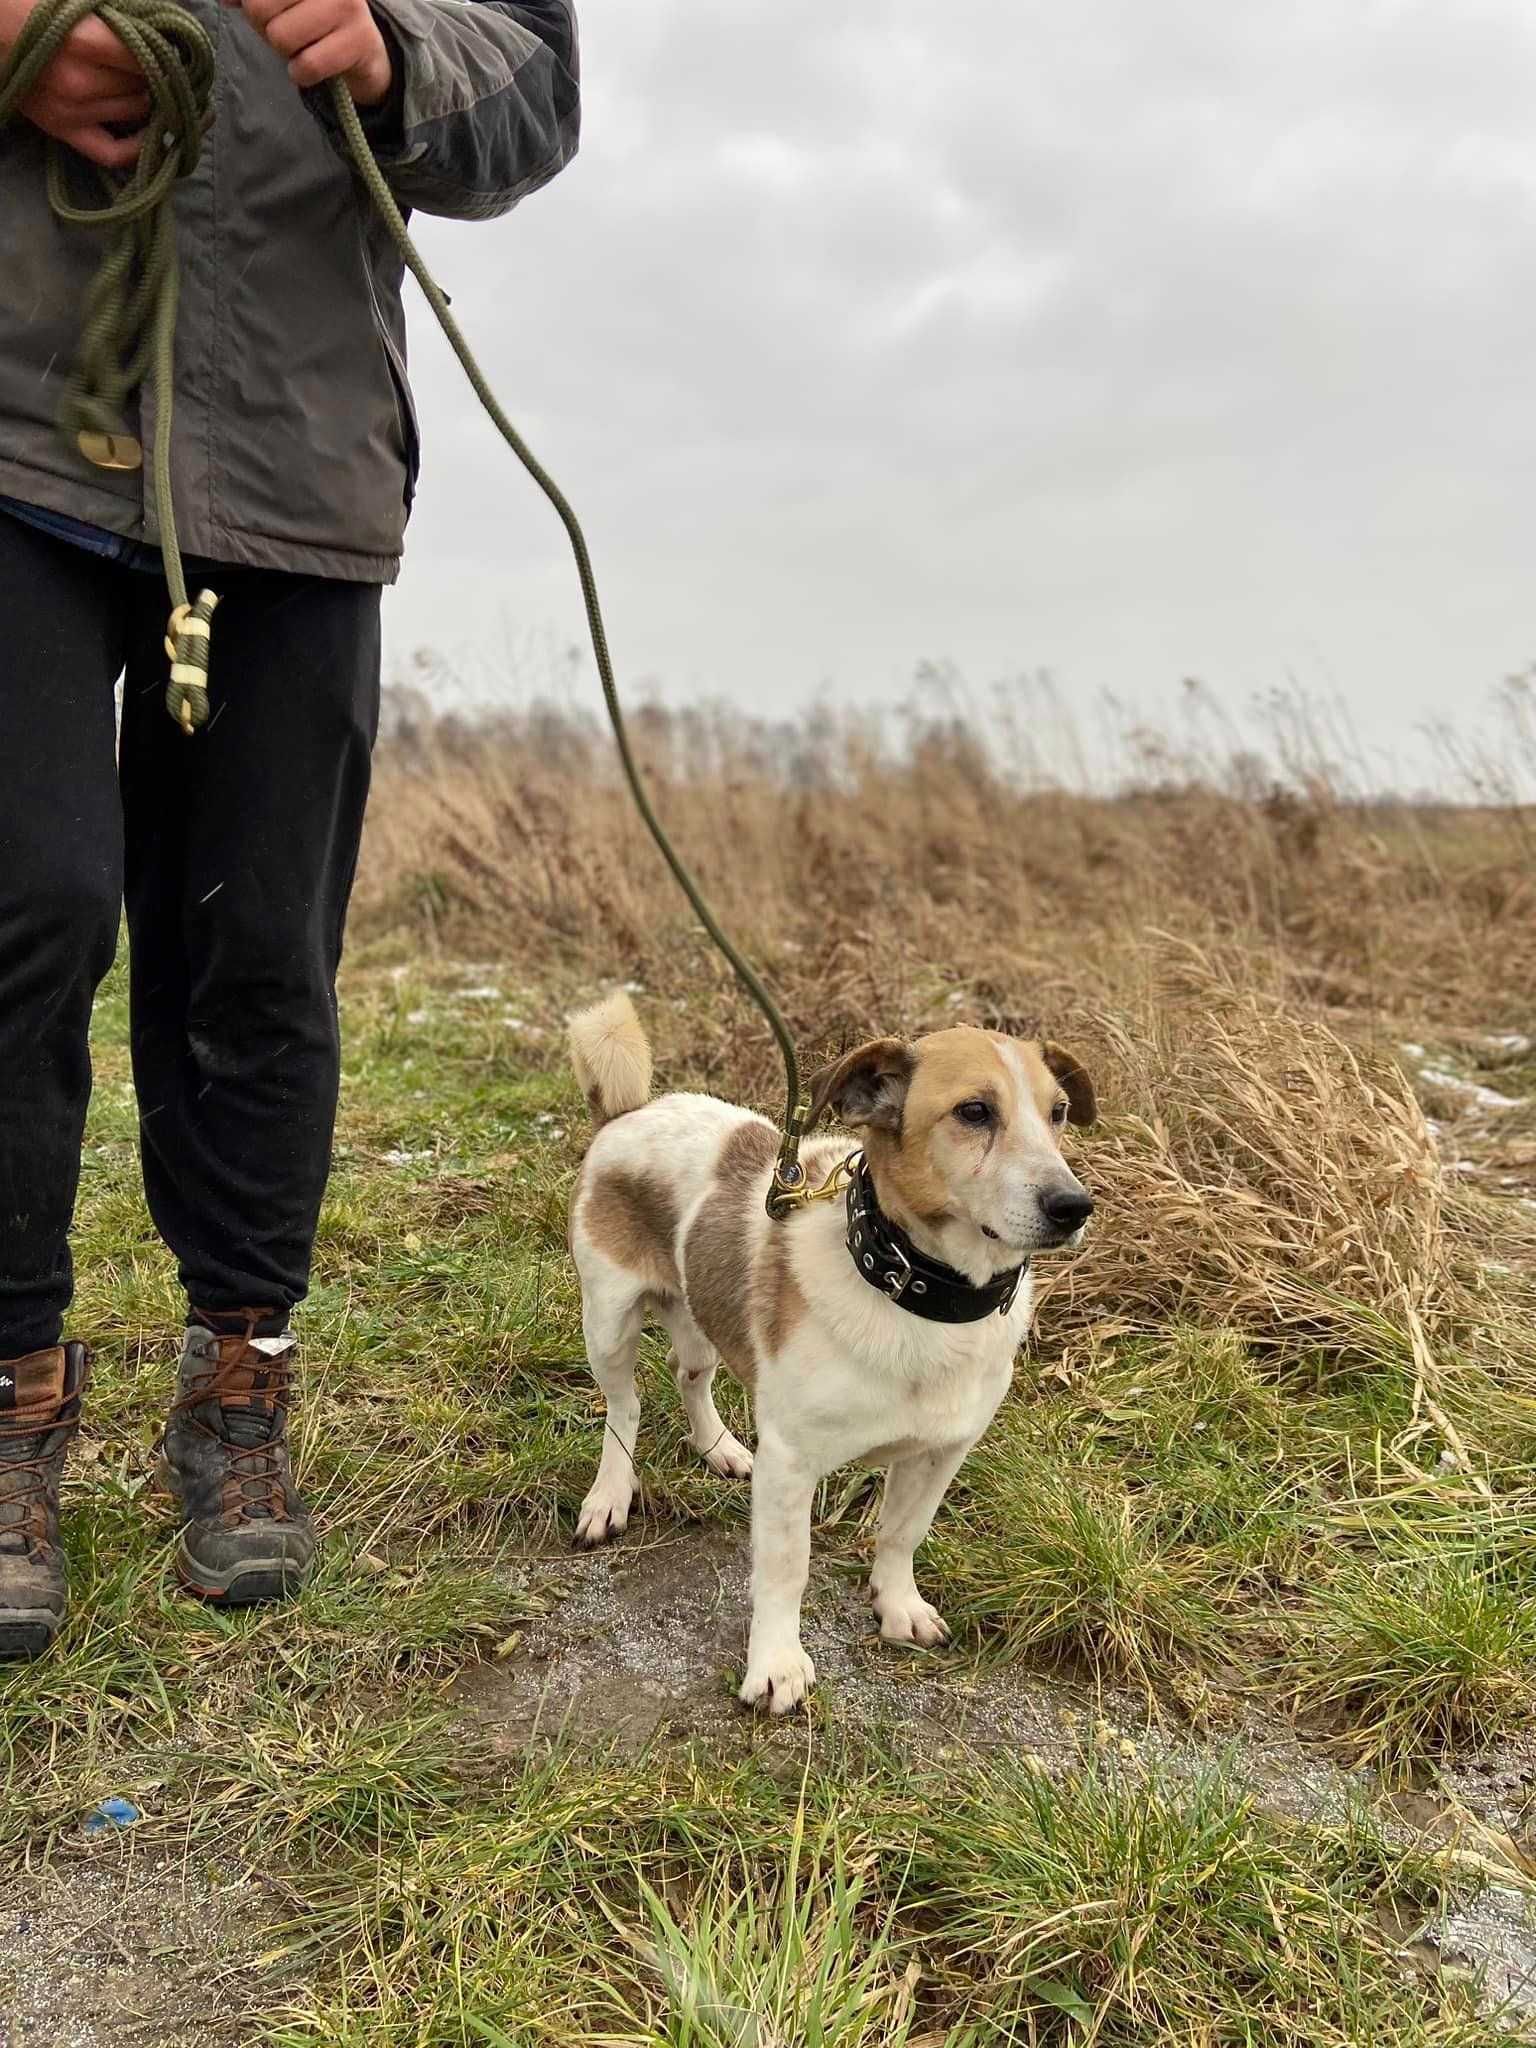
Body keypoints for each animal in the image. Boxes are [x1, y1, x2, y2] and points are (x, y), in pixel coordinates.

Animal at [565, 991, 1097, 1712]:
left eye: (1059, 1112)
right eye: (974, 1112)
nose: (1073, 1206)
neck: (916, 1295)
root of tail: (629, 1112)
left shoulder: (941, 1452)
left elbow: (903, 1533)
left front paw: (898, 1605)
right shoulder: (791, 1464)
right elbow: (785, 1569)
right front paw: (776, 1663)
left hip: (702, 1305)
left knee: (688, 1372)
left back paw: (720, 1447)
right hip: (609, 1322)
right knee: (624, 1409)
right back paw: (610, 1497)